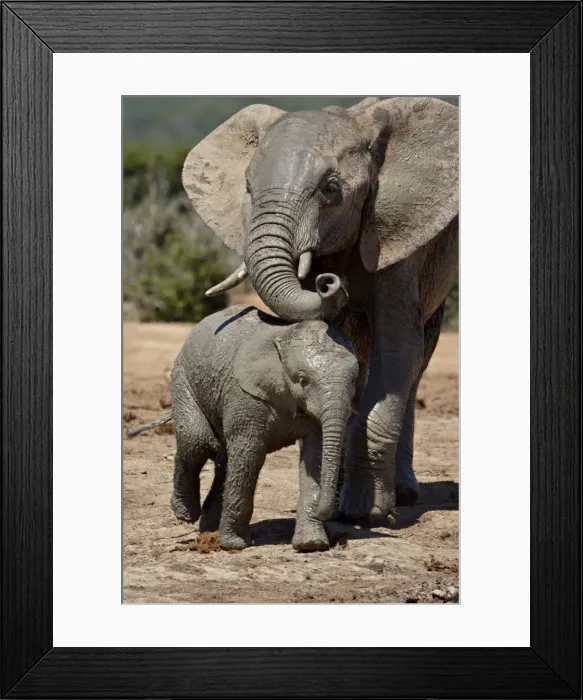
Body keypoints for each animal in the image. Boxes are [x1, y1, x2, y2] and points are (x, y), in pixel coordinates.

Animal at [129, 305, 360, 552]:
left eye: (353, 380)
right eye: (302, 380)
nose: (330, 515)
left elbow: (314, 456)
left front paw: (311, 544)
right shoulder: (245, 395)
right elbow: (249, 454)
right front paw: (234, 545)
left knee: (222, 458)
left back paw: (209, 531)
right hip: (183, 378)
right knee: (197, 444)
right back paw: (186, 514)